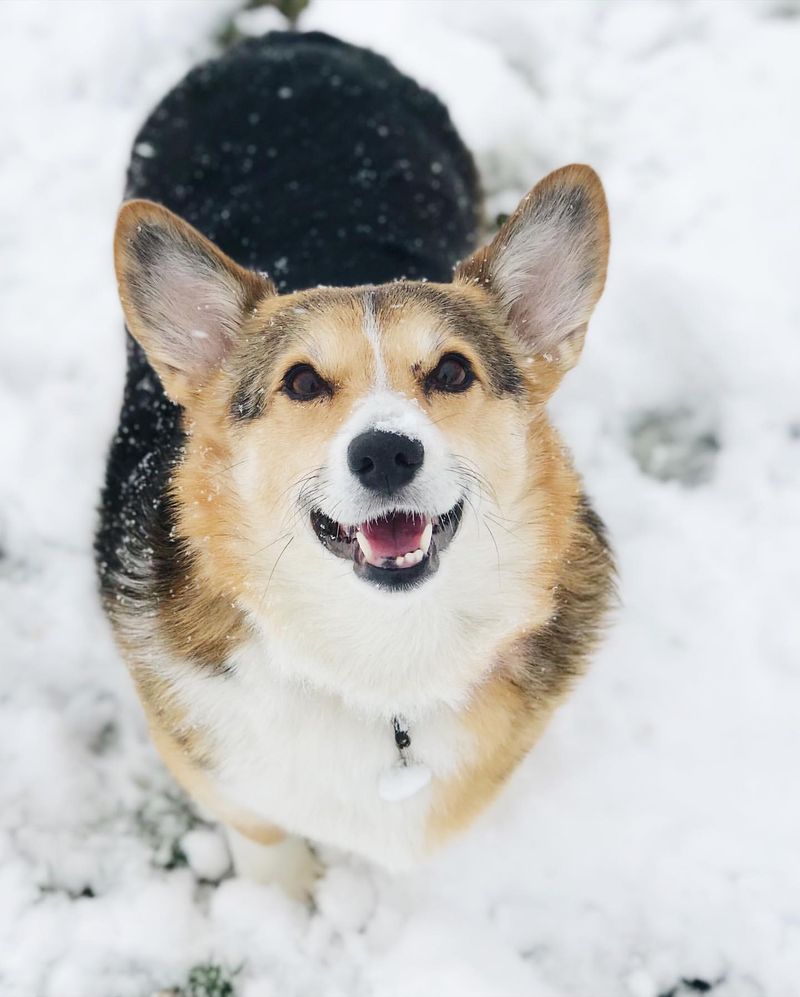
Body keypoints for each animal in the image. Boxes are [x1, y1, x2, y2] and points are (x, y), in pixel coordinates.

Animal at [97, 33, 616, 896]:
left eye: (452, 371)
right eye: (302, 382)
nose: (385, 452)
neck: (383, 661)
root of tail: (288, 43)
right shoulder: (215, 766)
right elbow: (263, 834)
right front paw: (285, 906)